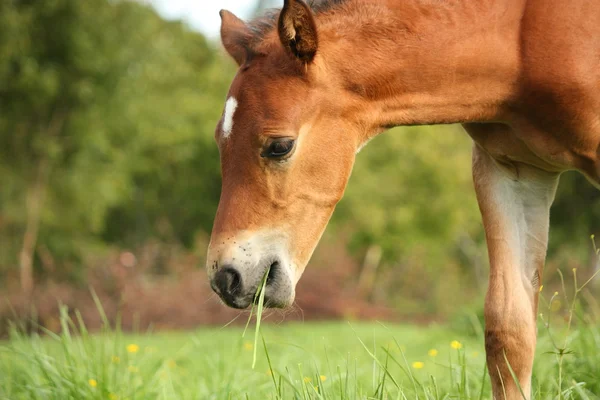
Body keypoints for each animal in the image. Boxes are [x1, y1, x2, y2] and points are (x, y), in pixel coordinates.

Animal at [207, 1, 600, 398]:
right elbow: (508, 330)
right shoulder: (511, 170)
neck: (521, 35)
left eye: (280, 146)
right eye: (220, 144)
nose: (226, 278)